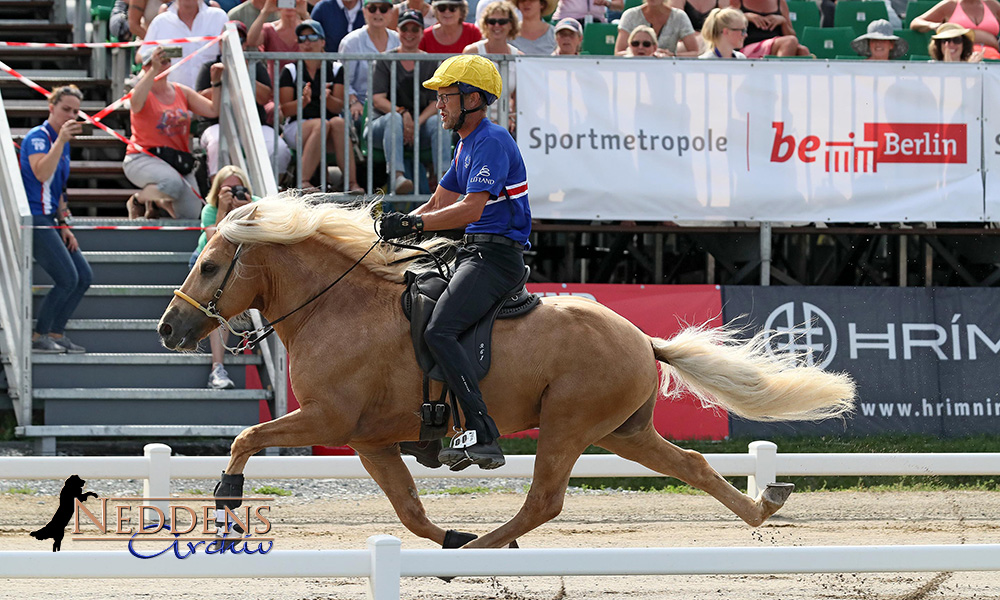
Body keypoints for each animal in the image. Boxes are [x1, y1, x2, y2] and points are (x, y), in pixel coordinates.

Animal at [160, 197, 856, 548]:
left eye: (212, 264)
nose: (169, 329)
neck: (336, 307)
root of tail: (642, 339)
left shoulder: (329, 419)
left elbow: (246, 436)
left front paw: (227, 500)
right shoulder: (369, 439)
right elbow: (410, 511)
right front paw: (446, 535)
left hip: (569, 424)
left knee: (545, 500)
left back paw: (485, 546)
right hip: (622, 432)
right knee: (693, 466)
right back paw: (761, 507)